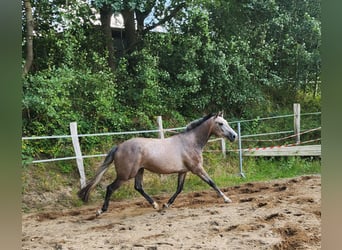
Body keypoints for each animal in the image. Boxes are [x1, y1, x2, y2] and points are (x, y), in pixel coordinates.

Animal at [78, 112, 238, 216]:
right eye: (220, 123)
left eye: (227, 122)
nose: (234, 136)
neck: (190, 142)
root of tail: (119, 147)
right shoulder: (197, 169)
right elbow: (212, 183)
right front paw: (227, 199)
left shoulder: (183, 171)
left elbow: (179, 189)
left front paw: (166, 205)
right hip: (125, 175)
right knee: (110, 188)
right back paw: (101, 210)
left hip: (139, 171)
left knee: (138, 187)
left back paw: (155, 204)